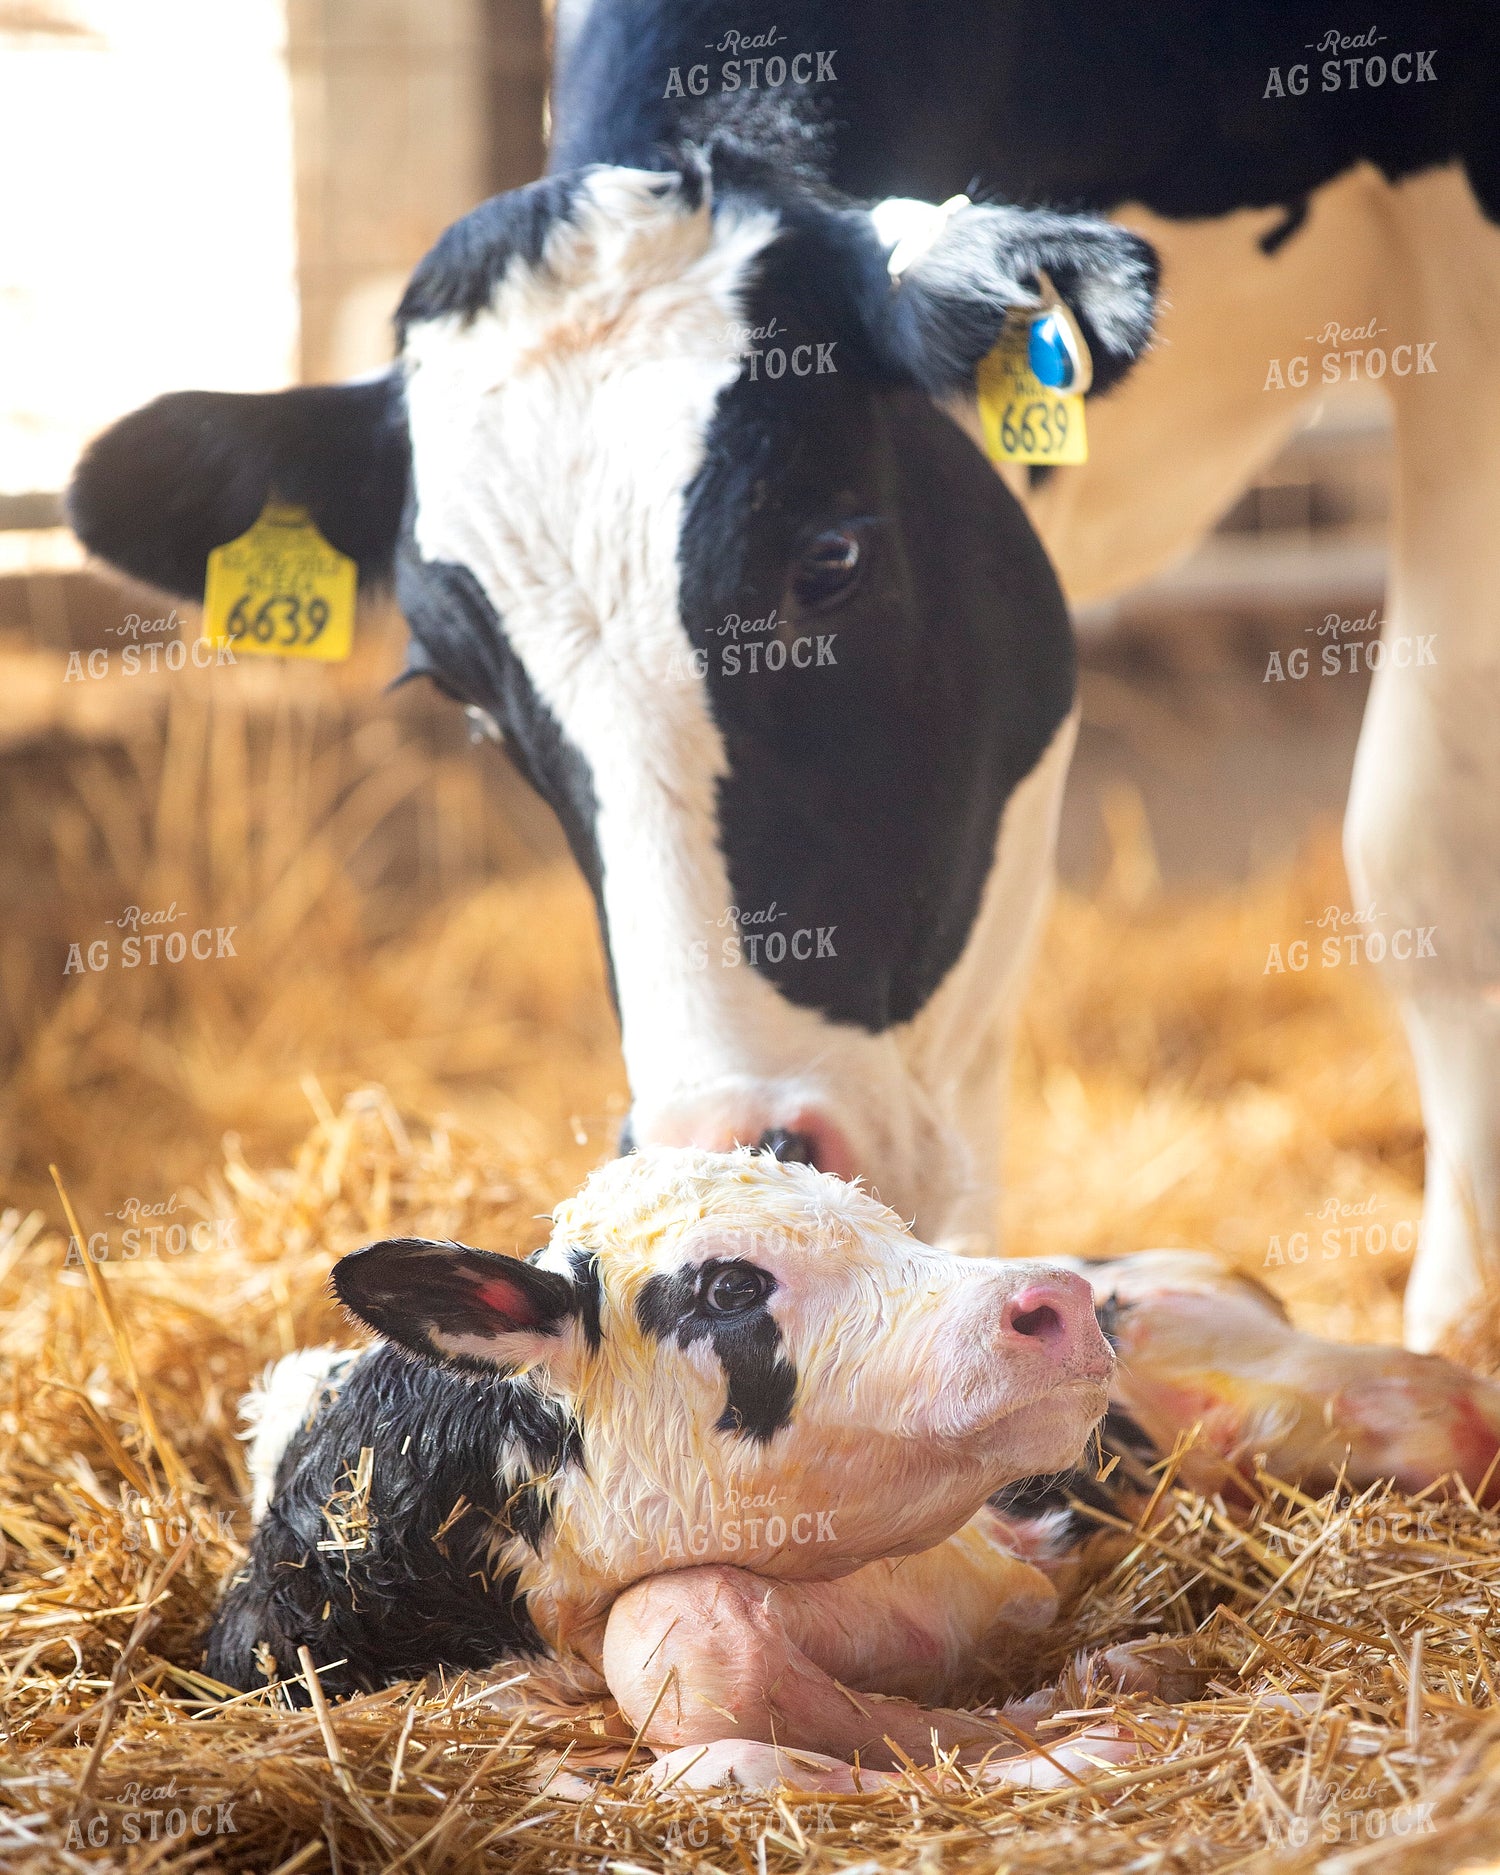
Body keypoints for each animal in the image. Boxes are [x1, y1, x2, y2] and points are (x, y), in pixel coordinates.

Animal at [218, 1147, 1500, 1793]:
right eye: (729, 1286)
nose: (1053, 1302)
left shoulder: (980, 1571)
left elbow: (697, 1642)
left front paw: (1082, 1714)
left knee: (1446, 1411)